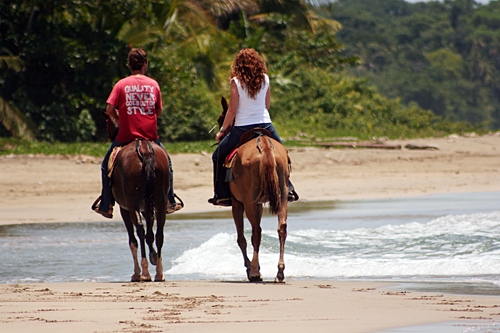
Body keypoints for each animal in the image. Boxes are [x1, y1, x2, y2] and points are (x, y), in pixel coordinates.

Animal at [102, 113, 171, 282]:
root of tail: (144, 149)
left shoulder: (125, 209)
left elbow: (133, 240)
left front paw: (137, 272)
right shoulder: (147, 207)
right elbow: (150, 235)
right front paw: (153, 255)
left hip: (132, 205)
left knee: (139, 232)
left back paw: (144, 273)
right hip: (160, 202)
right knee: (159, 234)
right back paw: (159, 273)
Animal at [218, 97, 290, 282]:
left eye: (220, 119)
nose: (220, 135)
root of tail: (264, 145)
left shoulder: (237, 204)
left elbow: (241, 238)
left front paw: (249, 267)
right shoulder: (258, 204)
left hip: (248, 203)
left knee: (256, 232)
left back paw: (255, 271)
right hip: (282, 196)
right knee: (281, 228)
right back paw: (280, 272)